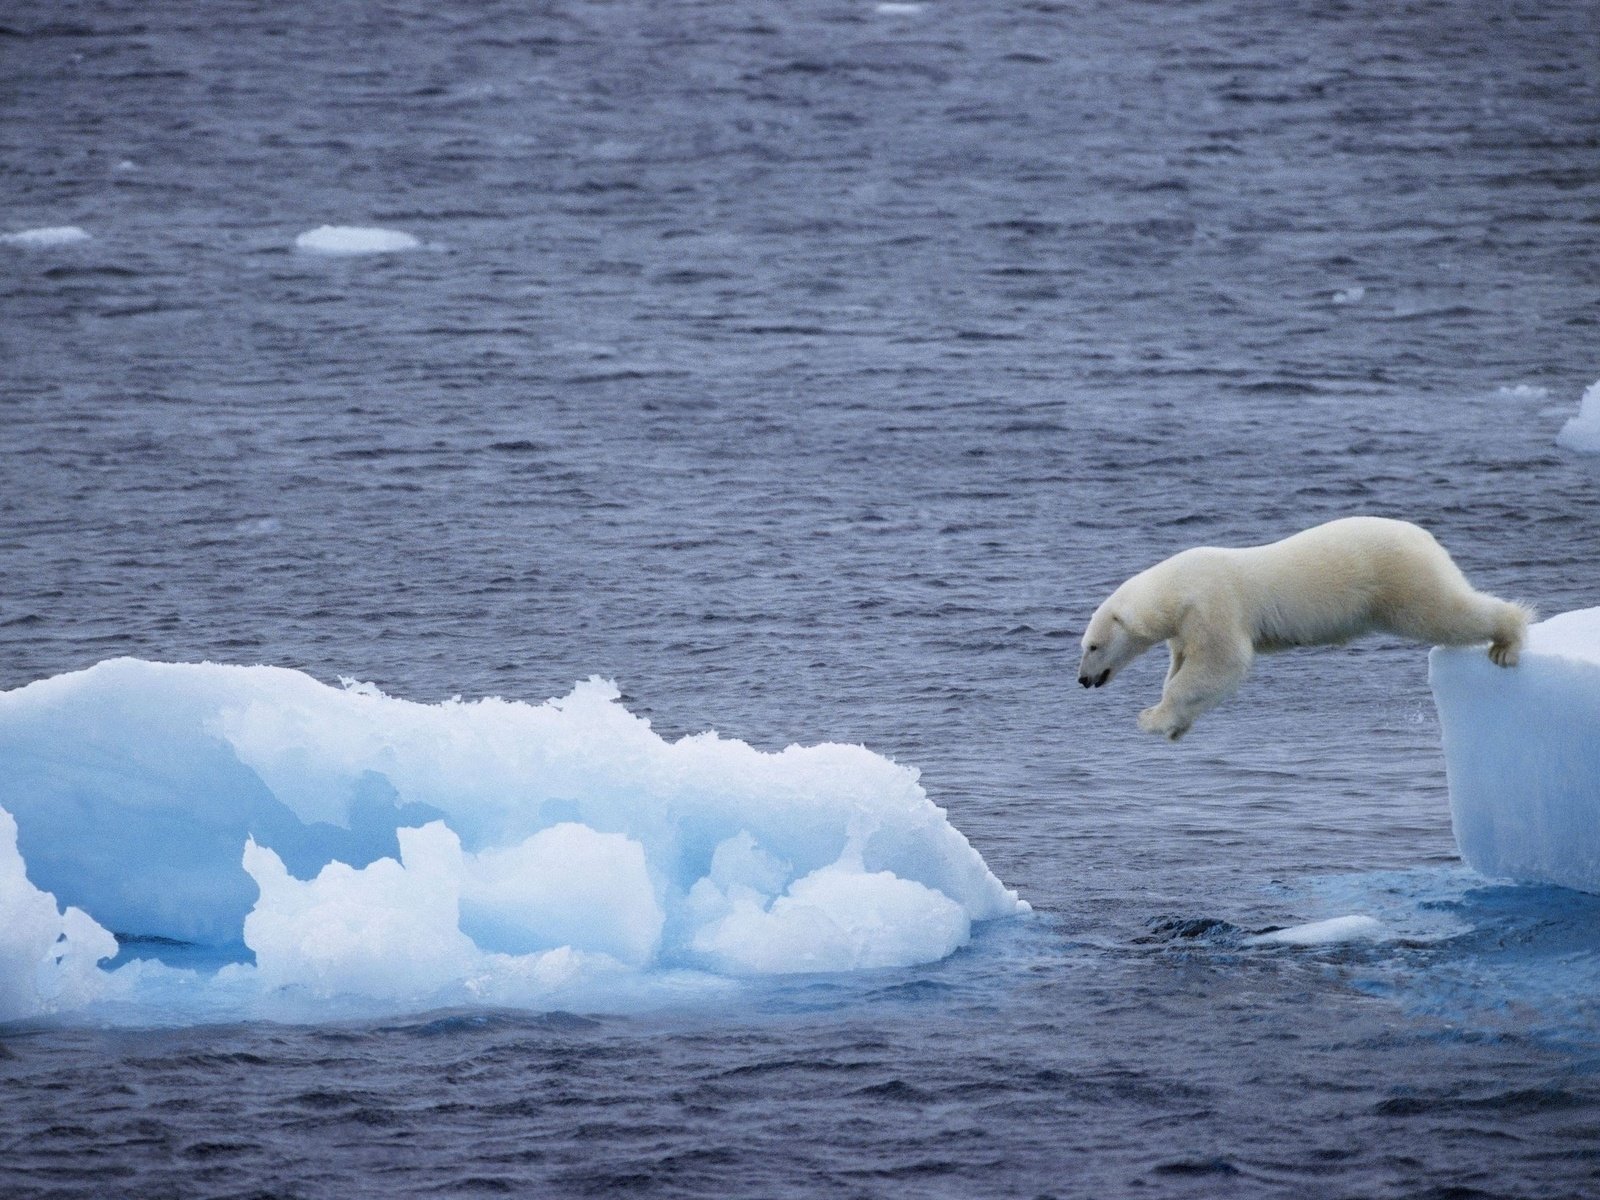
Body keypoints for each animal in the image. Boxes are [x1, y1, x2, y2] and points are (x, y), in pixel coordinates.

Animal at [1081, 518, 1529, 742]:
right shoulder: (1186, 625)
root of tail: (1426, 537)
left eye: (1093, 646)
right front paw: (1176, 725)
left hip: (1399, 578)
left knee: (1443, 613)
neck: (1175, 587)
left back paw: (1507, 639)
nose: (1083, 680)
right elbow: (1187, 667)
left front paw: (1152, 718)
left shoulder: (1213, 603)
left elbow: (1222, 661)